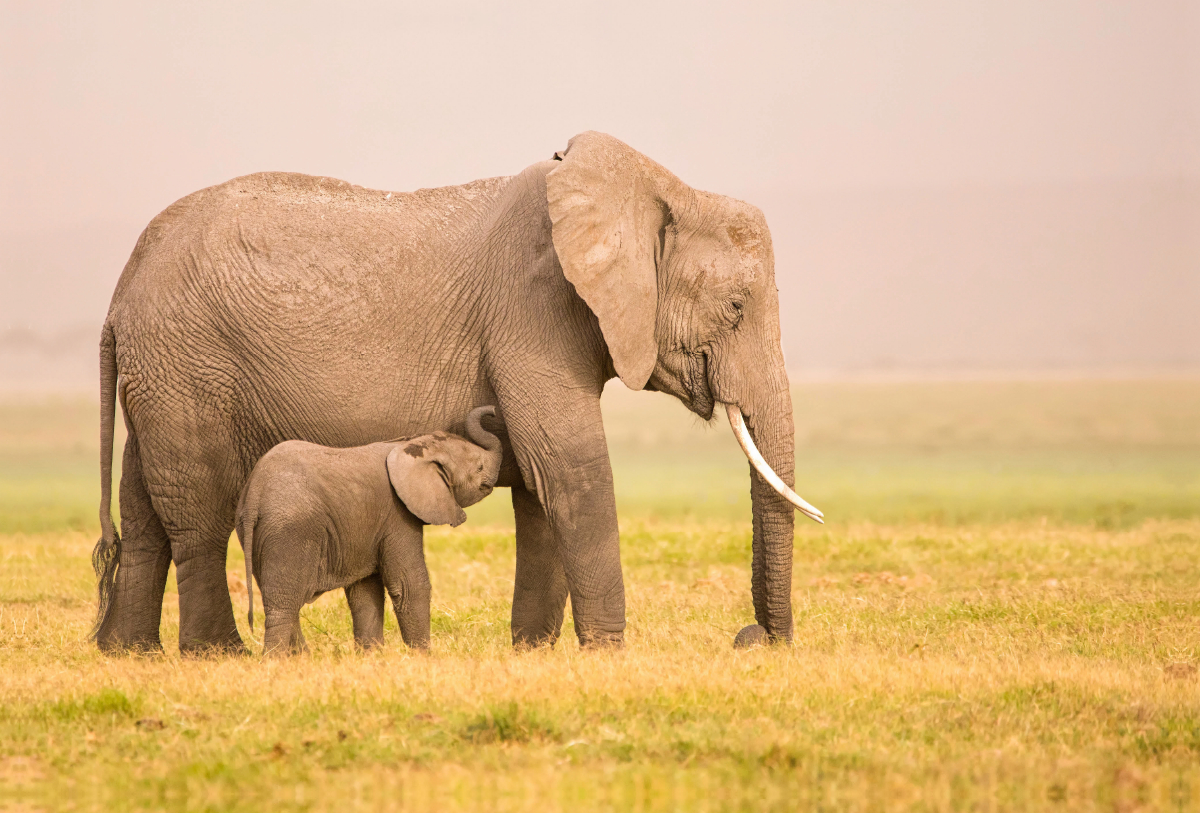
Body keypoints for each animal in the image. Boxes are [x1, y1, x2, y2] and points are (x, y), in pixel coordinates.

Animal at [236, 407, 504, 657]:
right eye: (479, 467)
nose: (492, 410)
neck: (409, 445)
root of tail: (256, 490)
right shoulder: (397, 514)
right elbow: (409, 584)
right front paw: (424, 658)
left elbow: (364, 592)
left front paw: (371, 657)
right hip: (291, 529)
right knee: (284, 602)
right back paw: (277, 660)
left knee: (277, 597)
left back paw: (301, 658)